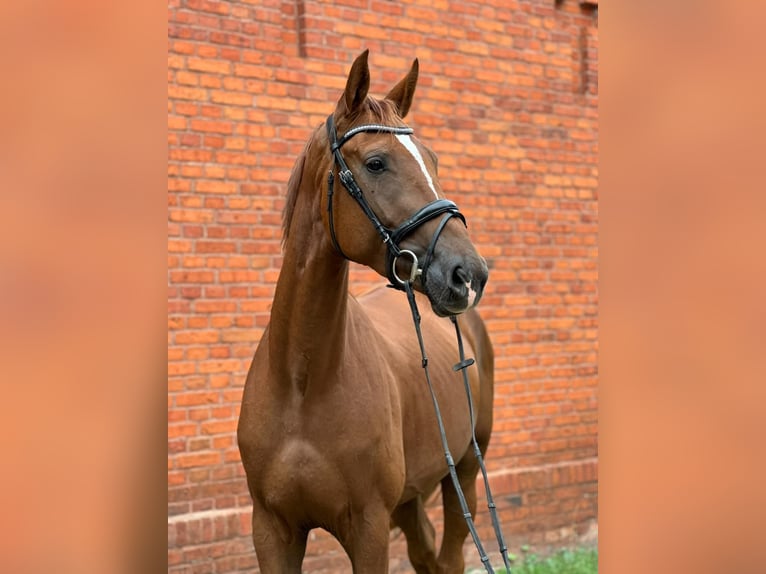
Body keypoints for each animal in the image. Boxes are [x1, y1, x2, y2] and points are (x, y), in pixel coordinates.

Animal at [237, 50, 495, 573]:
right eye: (376, 163)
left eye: (433, 160)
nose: (469, 275)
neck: (302, 383)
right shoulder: (271, 530)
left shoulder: (369, 529)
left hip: (464, 472)